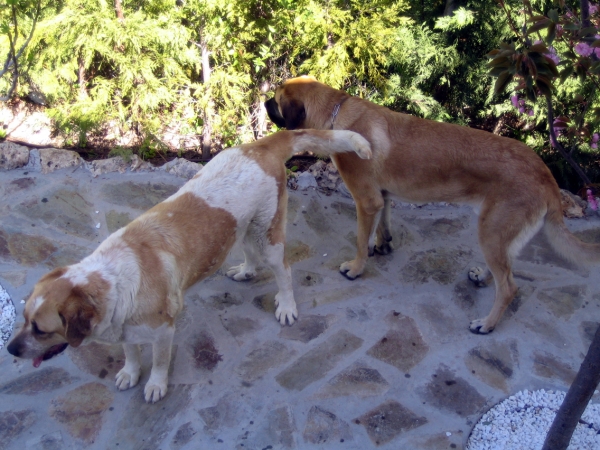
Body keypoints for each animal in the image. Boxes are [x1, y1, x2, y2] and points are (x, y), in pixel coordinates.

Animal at [5, 129, 370, 400]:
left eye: (41, 329)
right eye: (23, 318)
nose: (9, 349)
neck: (112, 279)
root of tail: (258, 145)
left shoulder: (163, 331)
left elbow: (159, 361)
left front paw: (155, 385)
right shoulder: (124, 325)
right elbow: (131, 353)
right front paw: (129, 373)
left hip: (267, 236)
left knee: (284, 270)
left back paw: (287, 305)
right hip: (242, 228)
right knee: (249, 254)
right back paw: (245, 271)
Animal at [266, 75, 600, 334]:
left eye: (277, 99)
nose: (263, 101)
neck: (338, 112)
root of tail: (546, 175)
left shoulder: (366, 200)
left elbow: (361, 240)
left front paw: (356, 268)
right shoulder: (382, 197)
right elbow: (382, 226)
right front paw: (383, 244)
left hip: (491, 230)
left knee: (509, 287)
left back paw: (487, 324)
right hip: (498, 232)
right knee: (506, 269)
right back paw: (483, 278)